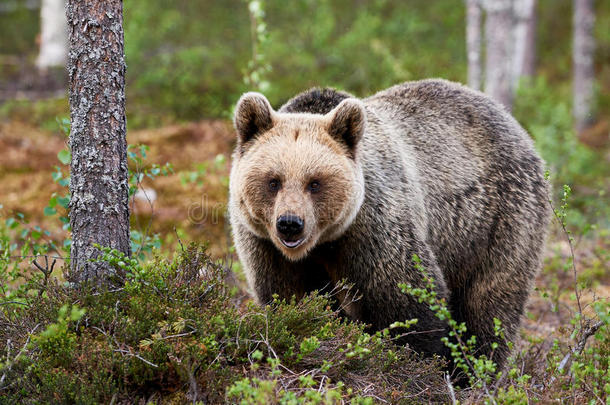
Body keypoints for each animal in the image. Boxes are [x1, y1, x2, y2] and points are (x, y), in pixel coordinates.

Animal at [228, 79, 552, 372]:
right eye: (274, 180)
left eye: (315, 182)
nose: (290, 224)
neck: (325, 242)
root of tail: (513, 123)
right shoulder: (267, 247)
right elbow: (292, 298)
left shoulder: (376, 227)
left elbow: (407, 299)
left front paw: (414, 363)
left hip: (499, 222)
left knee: (489, 303)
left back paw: (473, 372)